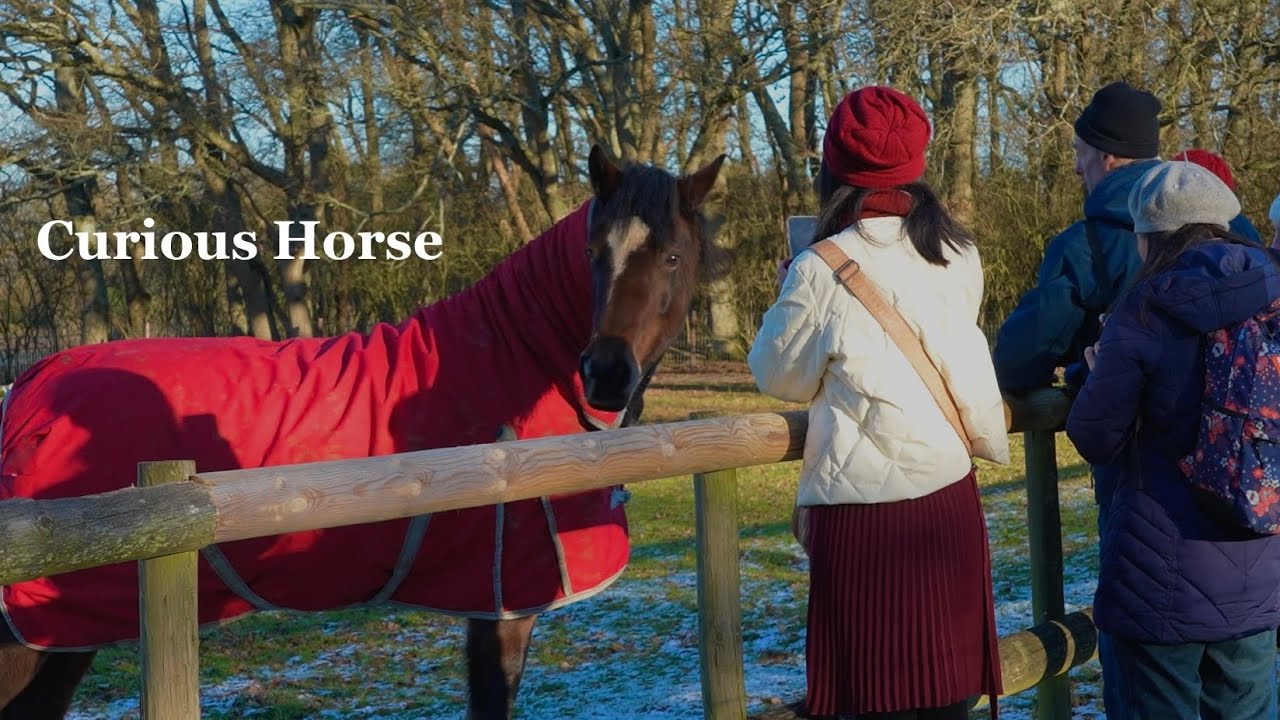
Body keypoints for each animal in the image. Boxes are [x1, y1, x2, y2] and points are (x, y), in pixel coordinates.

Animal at [0, 144, 726, 719]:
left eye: (671, 255)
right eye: (594, 252)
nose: (605, 372)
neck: (509, 365)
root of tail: (26, 392)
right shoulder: (500, 605)